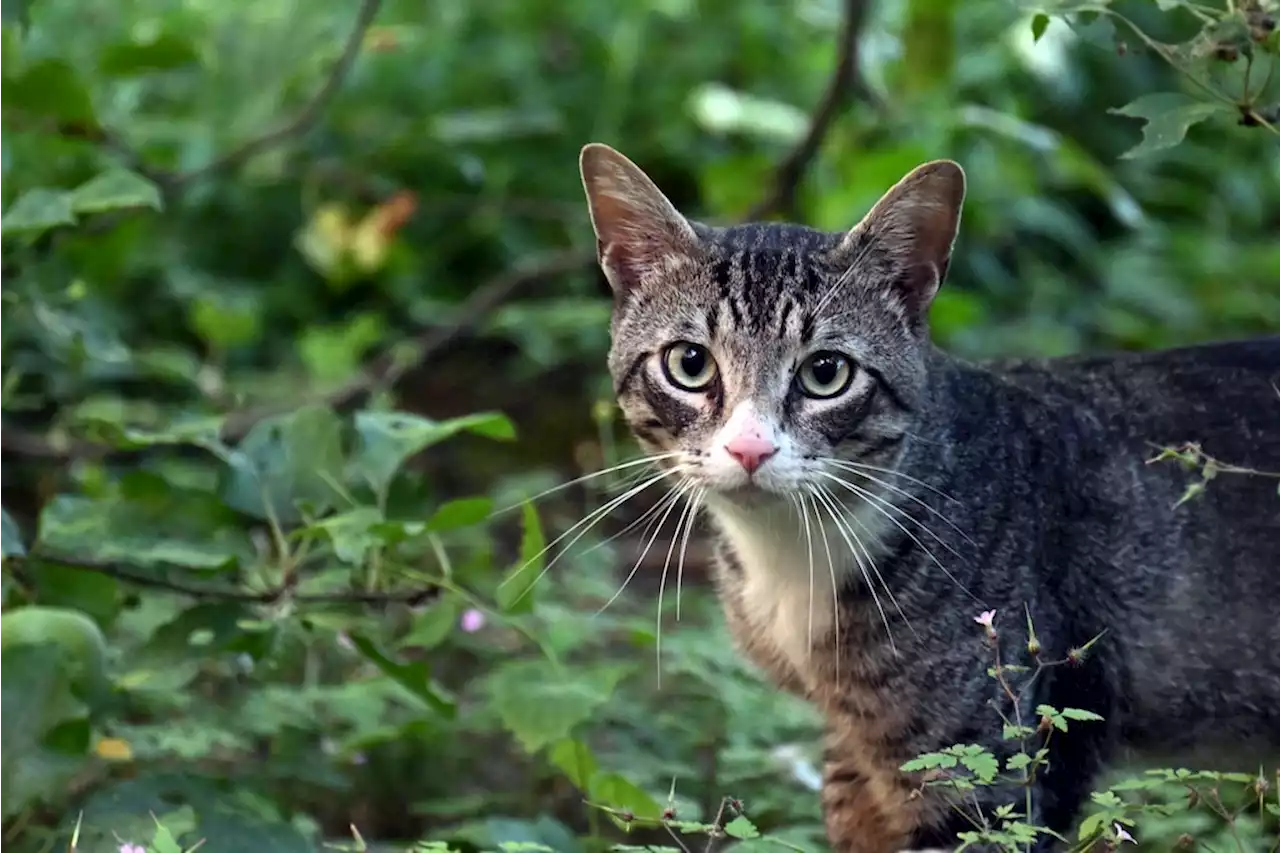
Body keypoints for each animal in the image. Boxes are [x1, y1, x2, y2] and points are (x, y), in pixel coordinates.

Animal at [578, 140, 1280, 850]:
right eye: (689, 364)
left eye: (826, 373)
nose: (750, 449)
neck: (789, 560)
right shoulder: (854, 752)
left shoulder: (993, 763)